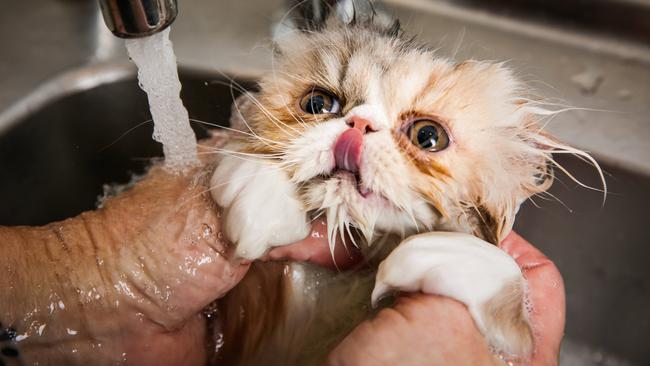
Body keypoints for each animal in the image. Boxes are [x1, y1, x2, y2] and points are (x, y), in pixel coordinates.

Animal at [204, 1, 604, 364]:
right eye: (318, 103)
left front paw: (445, 255)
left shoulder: (522, 343)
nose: (360, 124)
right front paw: (260, 192)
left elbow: (509, 283)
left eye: (427, 136)